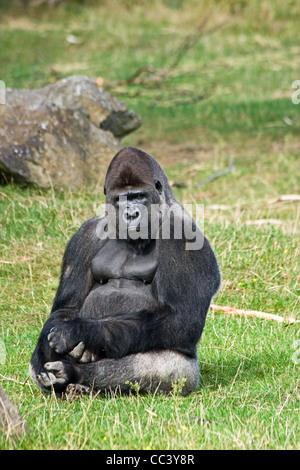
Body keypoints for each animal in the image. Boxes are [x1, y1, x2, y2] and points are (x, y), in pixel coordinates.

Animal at [29, 148, 220, 396]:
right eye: (121, 199)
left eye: (138, 196)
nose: (131, 215)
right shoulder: (84, 235)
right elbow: (67, 308)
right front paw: (50, 346)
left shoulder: (183, 235)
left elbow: (181, 318)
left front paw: (80, 332)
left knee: (167, 366)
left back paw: (74, 375)